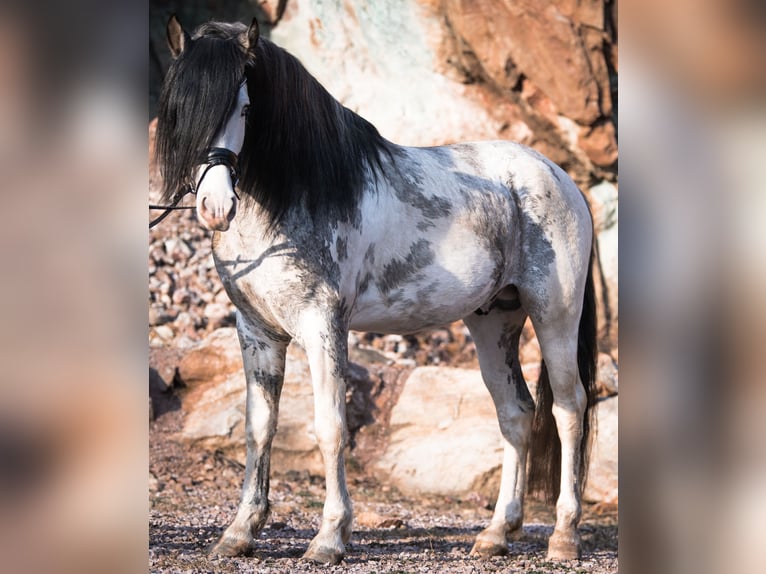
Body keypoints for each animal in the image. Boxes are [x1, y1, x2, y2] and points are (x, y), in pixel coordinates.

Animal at [154, 16, 600, 568]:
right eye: (177, 108)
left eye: (245, 108)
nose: (216, 207)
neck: (293, 195)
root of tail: (560, 178)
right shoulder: (256, 332)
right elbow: (259, 428)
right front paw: (238, 533)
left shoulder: (322, 326)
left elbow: (330, 428)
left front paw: (329, 538)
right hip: (494, 320)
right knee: (515, 414)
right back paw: (496, 534)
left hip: (554, 313)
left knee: (569, 409)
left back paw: (564, 536)